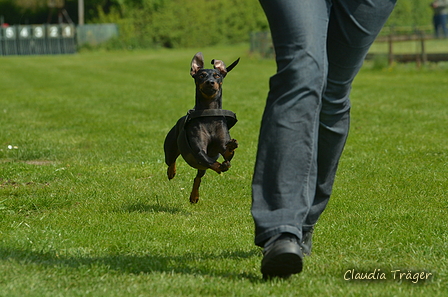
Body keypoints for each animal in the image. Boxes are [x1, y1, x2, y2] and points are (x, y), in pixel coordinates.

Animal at [164, 52, 240, 202]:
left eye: (217, 75)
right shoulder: (199, 150)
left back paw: (194, 196)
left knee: (198, 177)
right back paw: (171, 172)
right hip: (169, 150)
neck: (208, 113)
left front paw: (231, 146)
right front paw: (221, 166)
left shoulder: (222, 148)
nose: (210, 82)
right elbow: (211, 161)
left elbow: (228, 154)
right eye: (201, 75)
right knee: (171, 161)